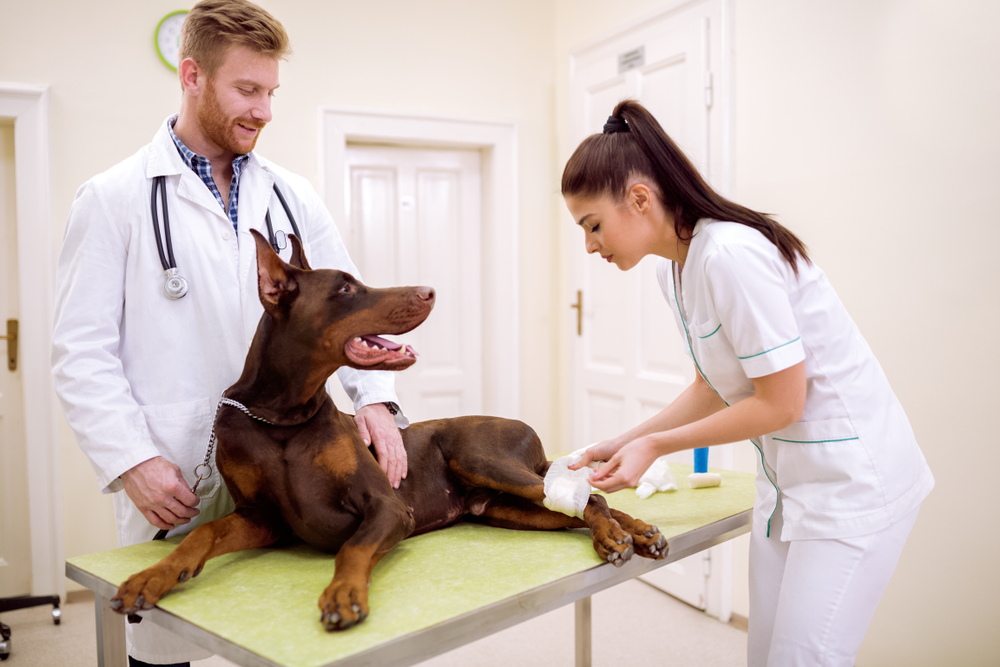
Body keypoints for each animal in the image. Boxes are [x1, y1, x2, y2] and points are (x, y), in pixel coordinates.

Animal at [109, 231, 668, 632]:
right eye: (345, 288)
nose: (430, 291)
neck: (282, 418)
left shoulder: (386, 506)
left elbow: (354, 547)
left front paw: (343, 594)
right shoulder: (262, 518)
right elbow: (203, 532)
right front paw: (153, 575)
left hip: (483, 459)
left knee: (590, 497)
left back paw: (621, 536)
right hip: (503, 507)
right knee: (574, 502)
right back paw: (635, 532)